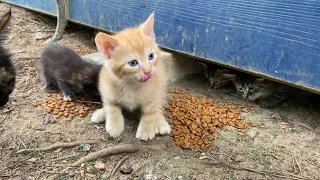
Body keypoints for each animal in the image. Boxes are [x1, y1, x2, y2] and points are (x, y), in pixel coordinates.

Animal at [91, 12, 171, 141]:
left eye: (151, 56)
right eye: (133, 63)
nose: (148, 71)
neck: (131, 84)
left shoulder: (153, 94)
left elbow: (150, 113)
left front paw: (145, 131)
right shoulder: (107, 88)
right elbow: (112, 108)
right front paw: (114, 127)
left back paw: (160, 123)